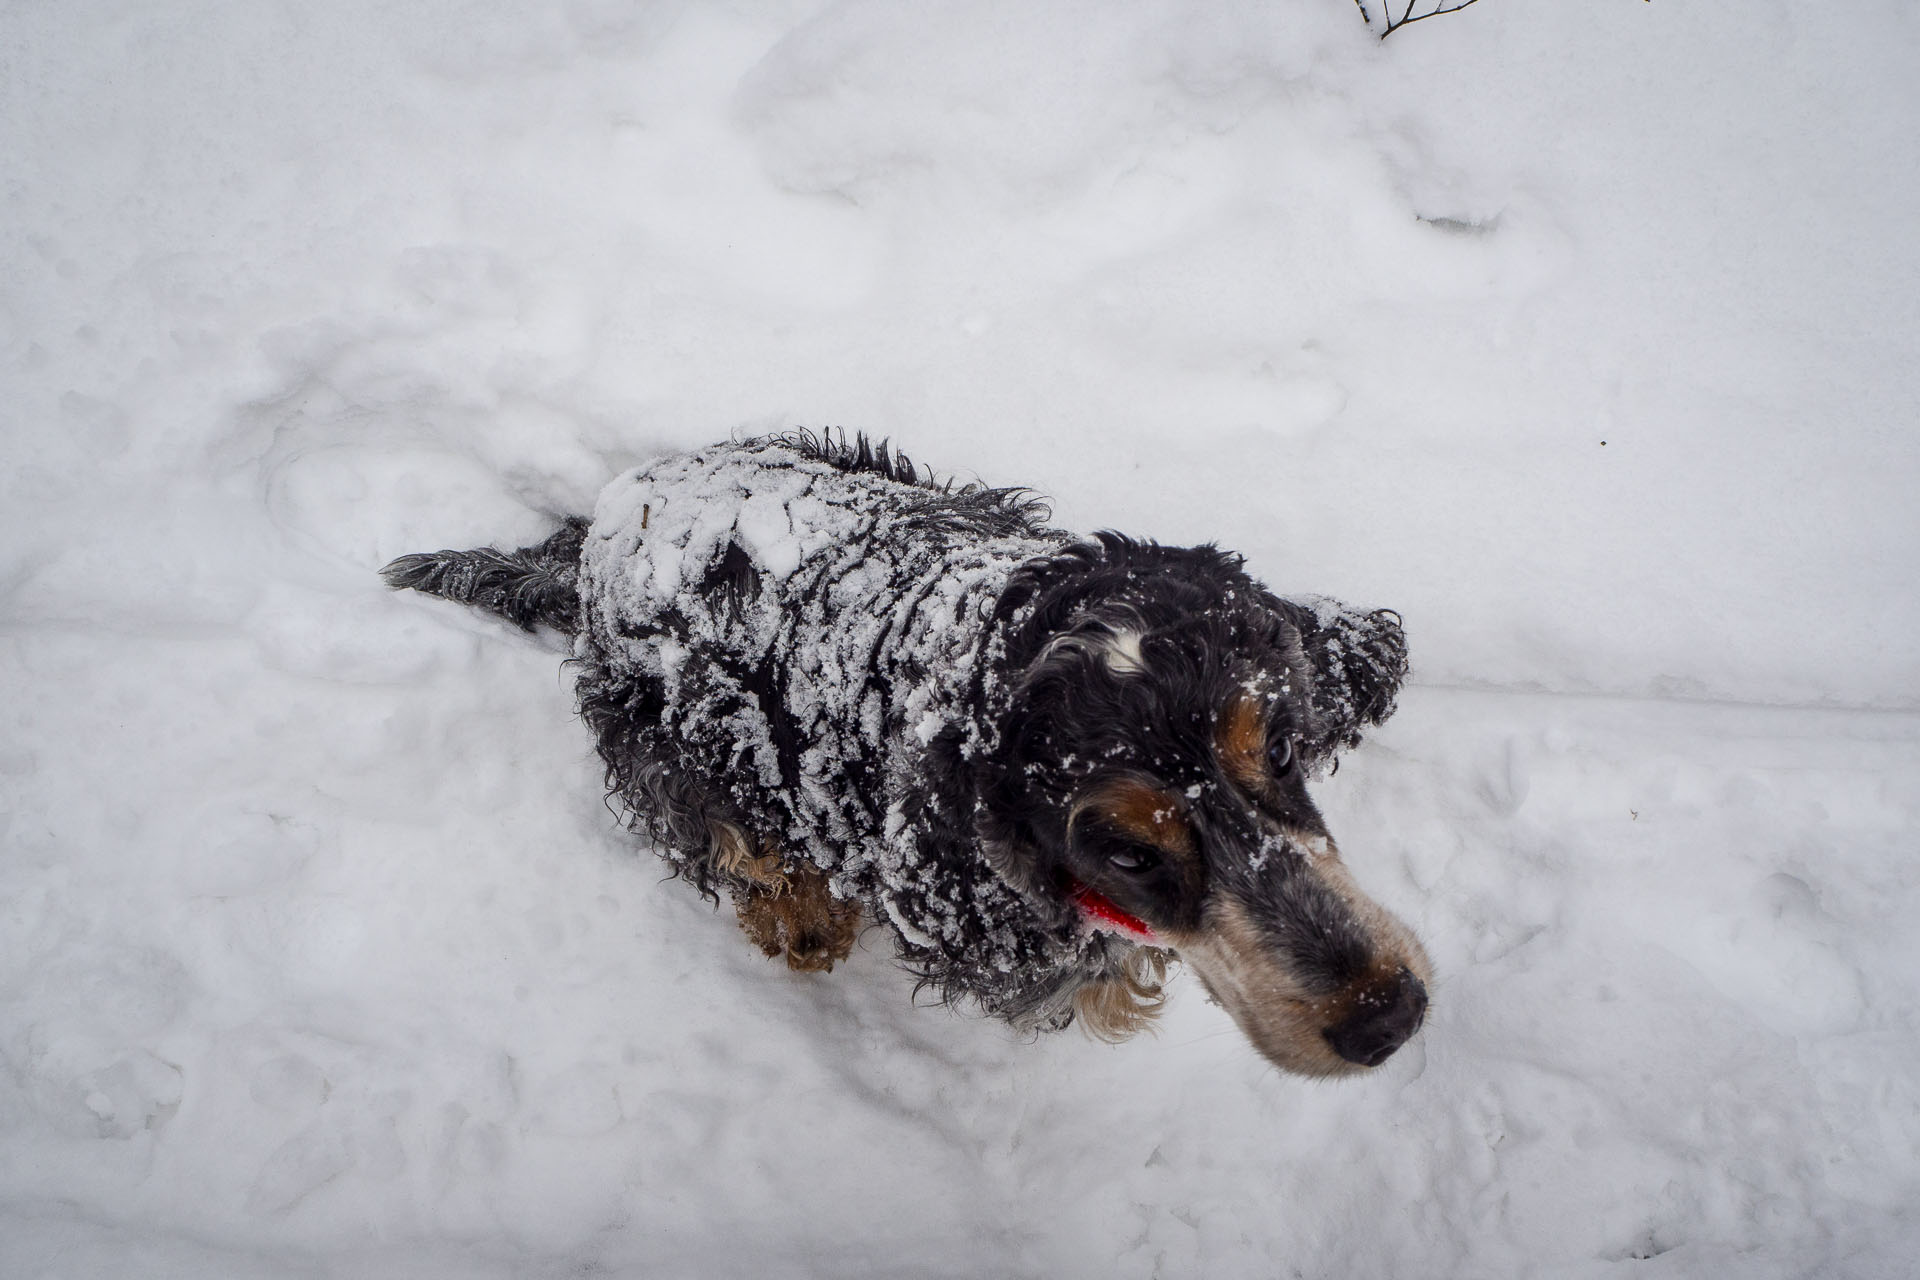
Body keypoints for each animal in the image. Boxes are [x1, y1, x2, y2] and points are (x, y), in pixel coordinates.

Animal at [382, 435, 1436, 1074]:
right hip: (677, 746)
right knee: (742, 844)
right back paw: (802, 920)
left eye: (1285, 746)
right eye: (1126, 852)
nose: (1388, 1017)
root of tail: (606, 523)